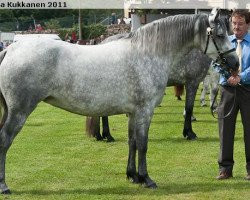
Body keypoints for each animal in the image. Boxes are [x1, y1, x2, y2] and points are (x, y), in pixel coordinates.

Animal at [0, 8, 238, 194]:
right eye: (219, 34)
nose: (235, 63)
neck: (148, 53)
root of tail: (10, 49)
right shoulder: (145, 111)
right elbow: (143, 144)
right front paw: (147, 178)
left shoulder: (133, 113)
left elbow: (132, 142)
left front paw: (132, 175)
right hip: (19, 112)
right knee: (4, 140)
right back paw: (4, 186)